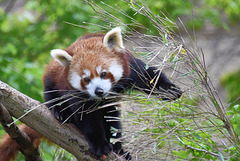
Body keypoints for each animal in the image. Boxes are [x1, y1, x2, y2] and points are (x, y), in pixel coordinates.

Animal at [0, 27, 181, 160]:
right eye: (86, 79)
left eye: (104, 74)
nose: (98, 91)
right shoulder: (76, 94)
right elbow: (87, 118)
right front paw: (100, 144)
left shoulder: (130, 68)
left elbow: (149, 76)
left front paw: (169, 89)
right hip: (52, 77)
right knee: (51, 93)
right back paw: (59, 111)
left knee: (113, 121)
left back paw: (119, 149)